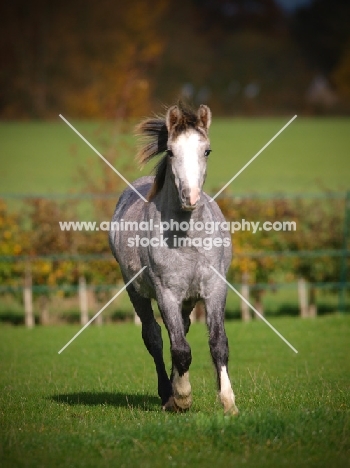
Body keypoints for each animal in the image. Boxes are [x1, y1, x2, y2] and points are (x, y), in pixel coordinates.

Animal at [109, 101, 239, 414]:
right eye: (170, 151)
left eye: (207, 150)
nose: (190, 197)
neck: (187, 240)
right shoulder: (166, 293)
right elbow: (179, 348)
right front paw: (182, 397)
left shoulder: (215, 289)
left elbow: (218, 343)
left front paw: (228, 402)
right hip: (137, 292)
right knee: (155, 337)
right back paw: (167, 394)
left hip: (188, 300)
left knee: (180, 330)